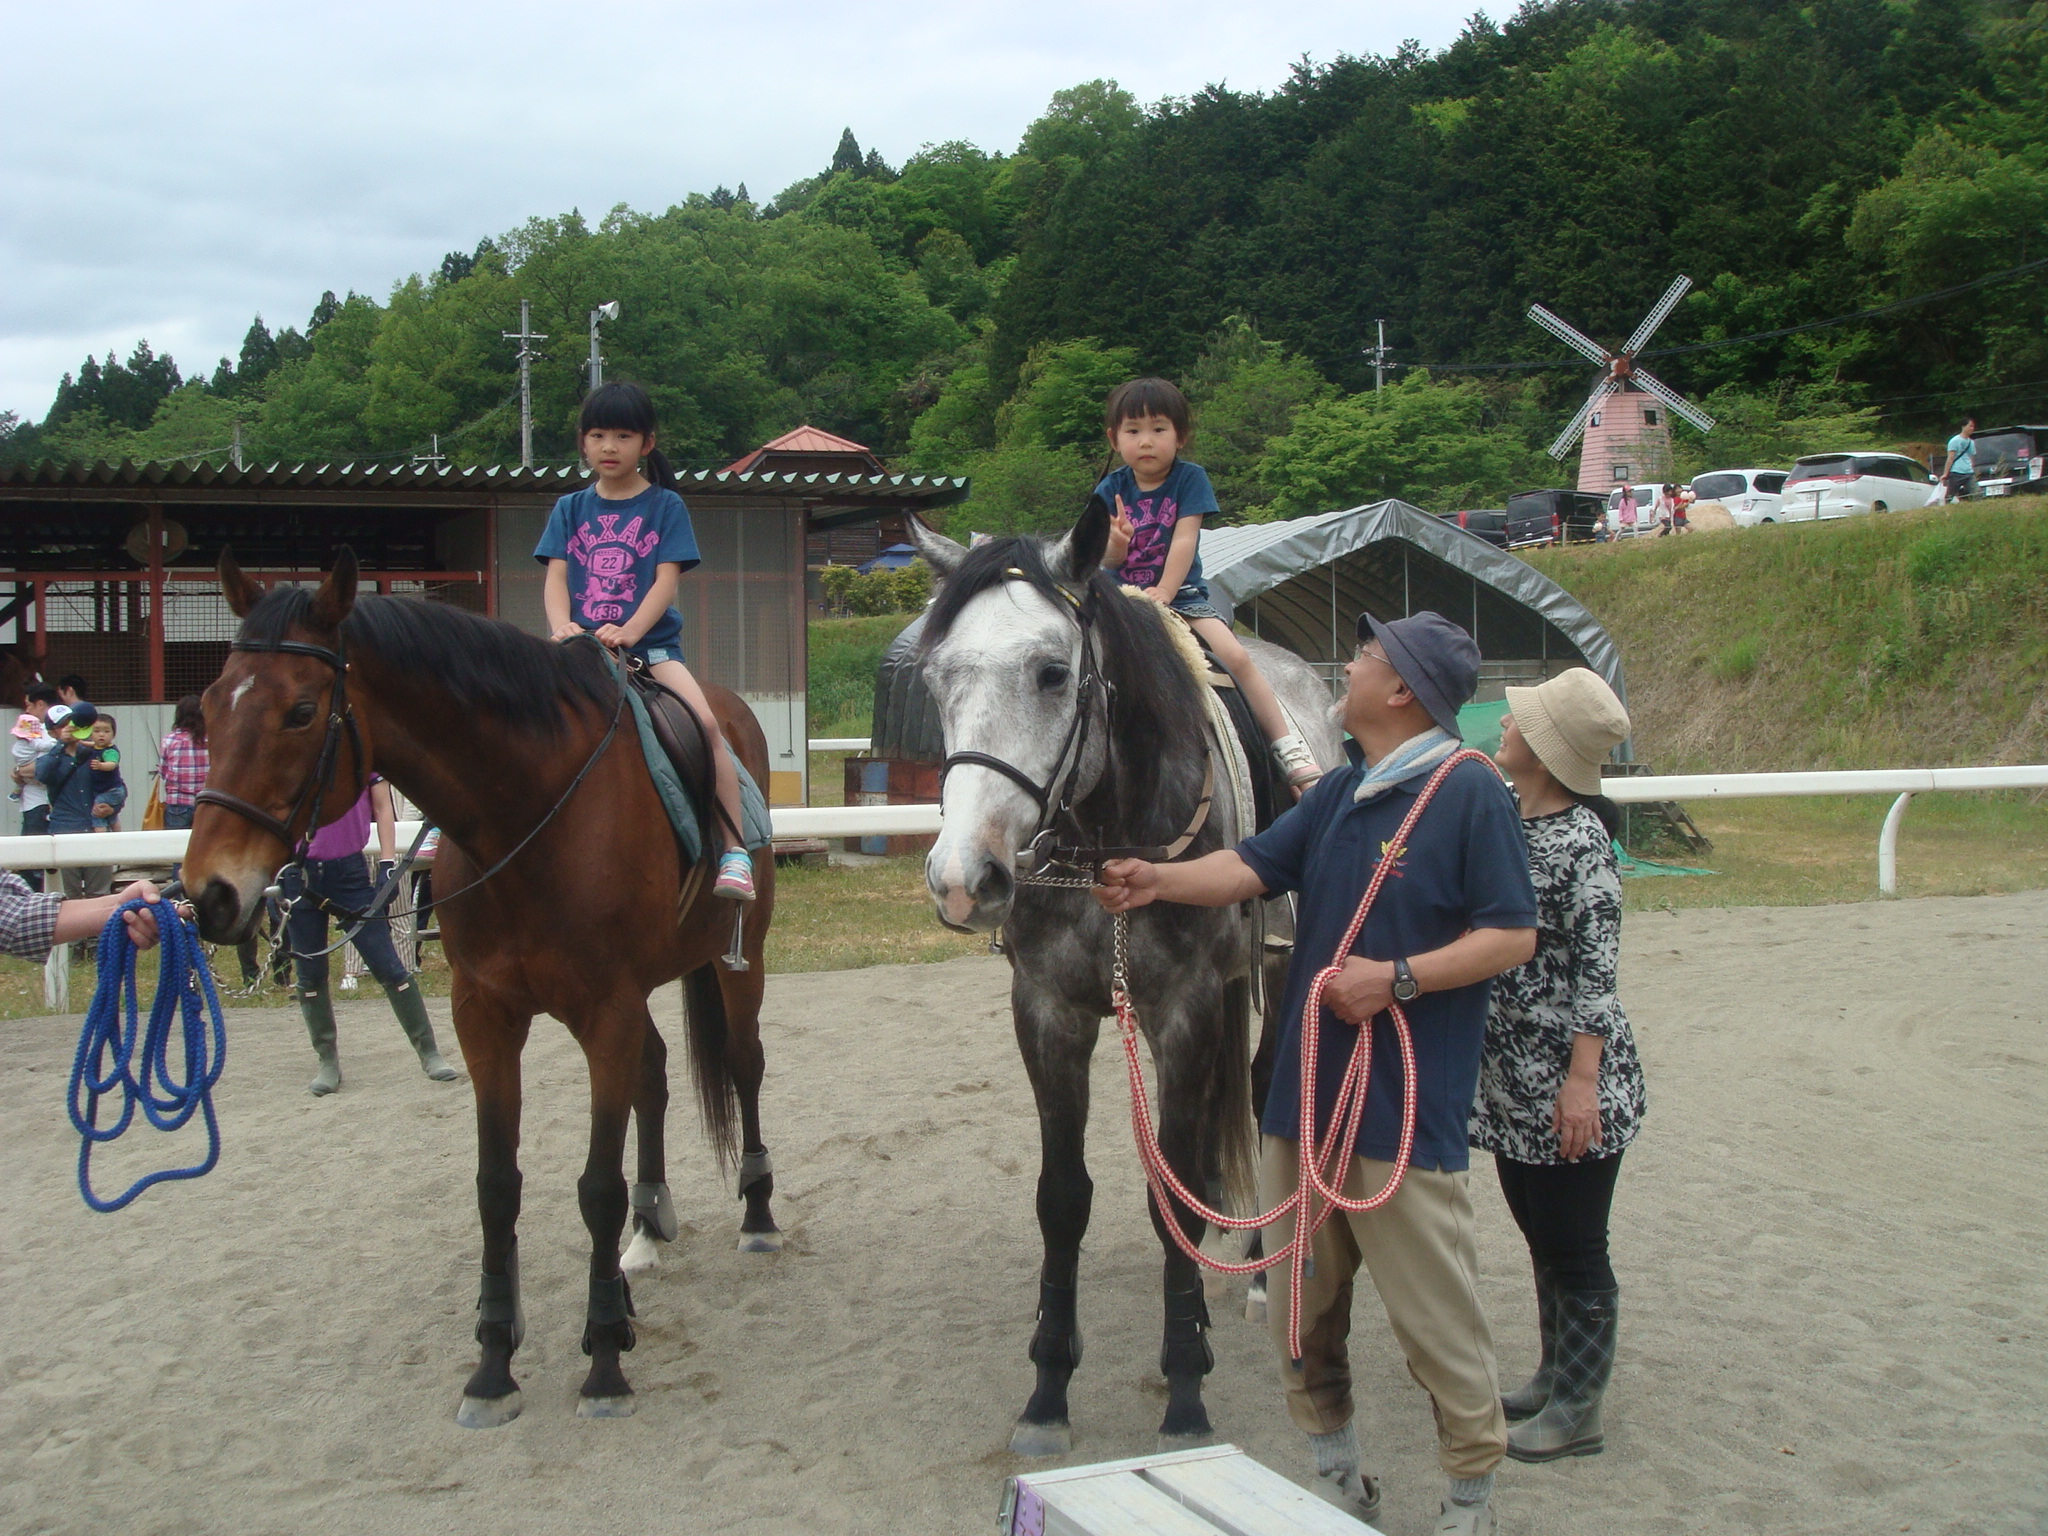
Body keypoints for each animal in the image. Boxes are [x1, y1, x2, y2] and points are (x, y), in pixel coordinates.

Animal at [181, 550, 783, 1428]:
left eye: (300, 711)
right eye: (207, 710)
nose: (210, 893)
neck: (524, 812)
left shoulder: (604, 1009)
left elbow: (595, 1188)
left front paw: (605, 1358)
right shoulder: (485, 1014)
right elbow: (496, 1187)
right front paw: (494, 1362)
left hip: (740, 960)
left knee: (742, 1065)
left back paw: (758, 1214)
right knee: (655, 1075)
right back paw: (648, 1228)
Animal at [908, 497, 1341, 1453]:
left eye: (1051, 673)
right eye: (936, 679)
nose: (964, 878)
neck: (1107, 836)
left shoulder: (1184, 1009)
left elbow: (1171, 1190)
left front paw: (1184, 1392)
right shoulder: (1048, 1012)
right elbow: (1063, 1199)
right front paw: (1048, 1390)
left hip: (1276, 974)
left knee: (1263, 1101)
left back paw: (1262, 1281)